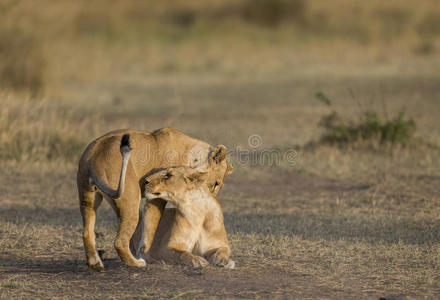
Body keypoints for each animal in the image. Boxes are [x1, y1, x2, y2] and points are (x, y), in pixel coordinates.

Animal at [77, 127, 232, 270]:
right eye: (216, 184)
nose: (211, 197)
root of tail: (96, 154)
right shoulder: (157, 197)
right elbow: (151, 225)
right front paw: (146, 254)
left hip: (87, 198)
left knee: (87, 233)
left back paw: (95, 263)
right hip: (130, 199)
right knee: (120, 241)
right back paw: (136, 263)